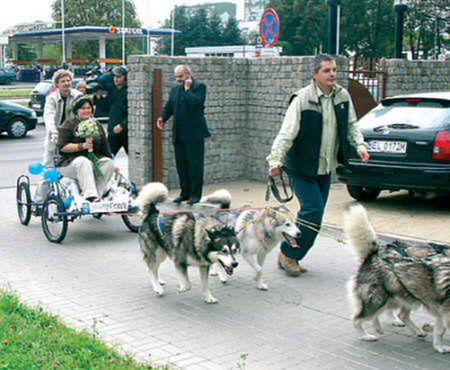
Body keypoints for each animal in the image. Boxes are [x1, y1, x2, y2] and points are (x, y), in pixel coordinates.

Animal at [344, 205, 450, 352]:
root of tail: (373, 256)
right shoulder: (445, 312)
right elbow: (441, 329)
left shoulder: (442, 311)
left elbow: (439, 331)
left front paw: (438, 347)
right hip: (379, 301)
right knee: (356, 319)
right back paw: (366, 336)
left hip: (402, 298)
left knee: (398, 315)